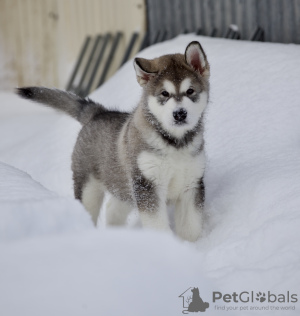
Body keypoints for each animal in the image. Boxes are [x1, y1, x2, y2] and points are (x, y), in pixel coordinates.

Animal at [17, 40, 209, 242]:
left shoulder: (192, 185)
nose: (180, 114)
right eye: (164, 94)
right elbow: (157, 225)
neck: (175, 143)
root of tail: (98, 112)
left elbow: (191, 228)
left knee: (112, 210)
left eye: (190, 91)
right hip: (89, 188)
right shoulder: (147, 186)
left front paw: (190, 245)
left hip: (122, 187)